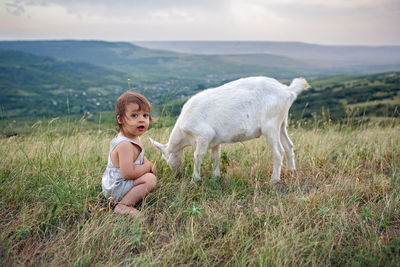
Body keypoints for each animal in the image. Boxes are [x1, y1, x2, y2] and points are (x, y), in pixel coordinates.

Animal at [150, 76, 310, 183]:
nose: (176, 175)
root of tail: (288, 91)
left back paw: (274, 180)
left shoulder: (203, 135)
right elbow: (215, 157)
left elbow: (197, 156)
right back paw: (291, 172)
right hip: (282, 123)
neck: (183, 134)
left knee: (279, 151)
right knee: (289, 146)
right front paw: (216, 177)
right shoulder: (214, 140)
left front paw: (195, 180)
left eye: (164, 159)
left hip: (271, 125)